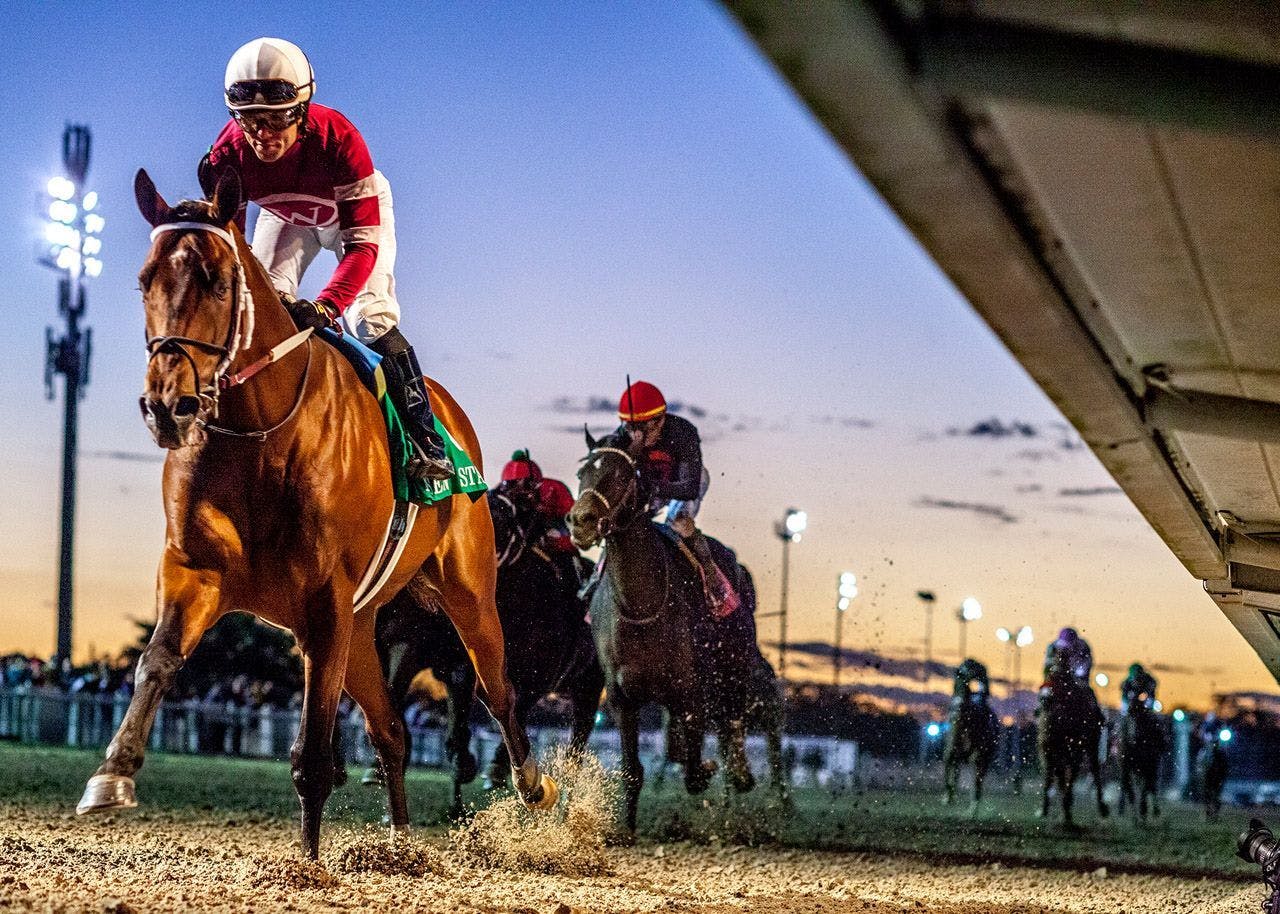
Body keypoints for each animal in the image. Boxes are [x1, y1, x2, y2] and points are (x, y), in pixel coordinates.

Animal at [74, 168, 555, 855]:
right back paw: (401, 844)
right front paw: (111, 776)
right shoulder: (198, 573)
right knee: (392, 731)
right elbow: (156, 660)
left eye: (217, 280)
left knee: (500, 692)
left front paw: (307, 862)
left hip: (467, 596)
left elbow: (313, 758)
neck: (259, 431)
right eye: (145, 280)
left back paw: (532, 786)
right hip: (361, 625)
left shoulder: (324, 599)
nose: (168, 406)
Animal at [565, 427, 752, 834]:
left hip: (733, 664)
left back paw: (741, 774)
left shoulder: (690, 690)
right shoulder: (621, 697)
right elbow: (632, 769)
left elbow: (695, 768)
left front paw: (707, 769)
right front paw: (625, 830)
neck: (642, 606)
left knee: (732, 718)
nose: (579, 521)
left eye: (620, 474)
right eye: (581, 474)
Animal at [1034, 647, 1105, 824]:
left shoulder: (1075, 749)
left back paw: (1101, 807)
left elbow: (1071, 774)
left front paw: (1066, 810)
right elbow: (1051, 776)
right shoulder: (1047, 748)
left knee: (1094, 770)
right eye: (1047, 671)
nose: (1045, 698)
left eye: (1061, 676)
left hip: (1092, 744)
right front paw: (1045, 808)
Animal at [1116, 691, 1167, 819]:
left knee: (1152, 786)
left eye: (1141, 717)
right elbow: (1130, 789)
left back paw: (1153, 810)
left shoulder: (1150, 766)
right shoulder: (1126, 767)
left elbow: (1146, 788)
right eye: (1130, 714)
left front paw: (1143, 810)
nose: (1134, 735)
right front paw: (1135, 815)